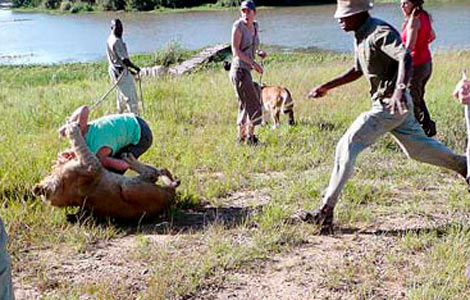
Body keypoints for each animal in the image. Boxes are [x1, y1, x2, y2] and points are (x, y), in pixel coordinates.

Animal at [33, 120, 180, 219]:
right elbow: (79, 144)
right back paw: (129, 159)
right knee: (152, 173)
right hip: (128, 187)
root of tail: (171, 197)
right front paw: (72, 127)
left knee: (156, 172)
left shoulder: (92, 165)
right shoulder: (93, 165)